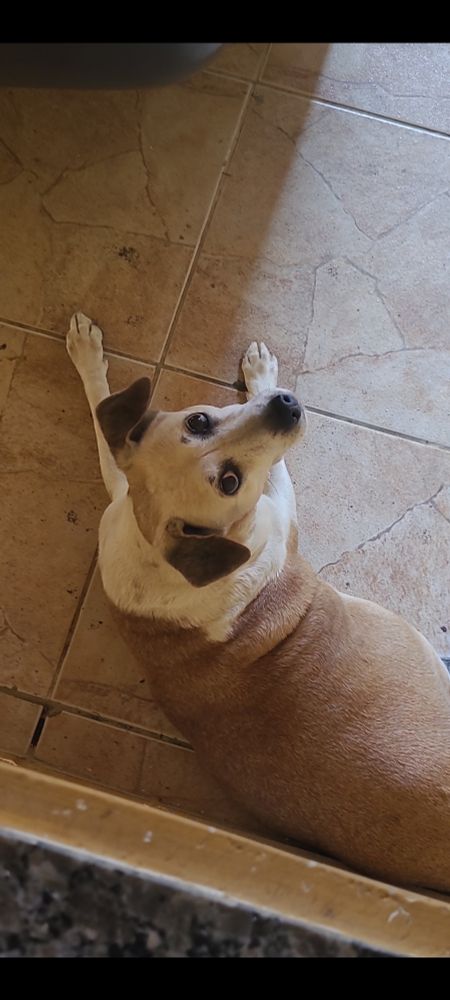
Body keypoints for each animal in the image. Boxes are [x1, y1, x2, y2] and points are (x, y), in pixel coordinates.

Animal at [67, 312, 450, 894]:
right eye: (229, 482)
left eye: (200, 420)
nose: (285, 405)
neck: (165, 551)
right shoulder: (278, 511)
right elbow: (282, 468)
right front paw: (263, 373)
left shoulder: (124, 504)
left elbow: (103, 426)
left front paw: (86, 356)